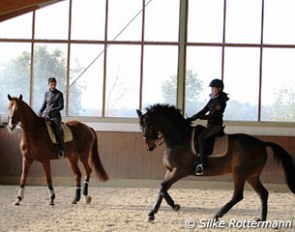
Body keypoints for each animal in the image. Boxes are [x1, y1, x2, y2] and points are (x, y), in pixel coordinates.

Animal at [138, 104, 295, 222]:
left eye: (149, 124)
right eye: (142, 125)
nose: (149, 146)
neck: (178, 138)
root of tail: (261, 143)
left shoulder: (180, 170)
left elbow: (163, 187)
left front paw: (175, 206)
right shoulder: (170, 170)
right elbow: (162, 189)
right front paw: (152, 214)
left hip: (240, 173)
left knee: (238, 196)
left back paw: (217, 215)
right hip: (252, 175)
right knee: (263, 193)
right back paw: (261, 218)